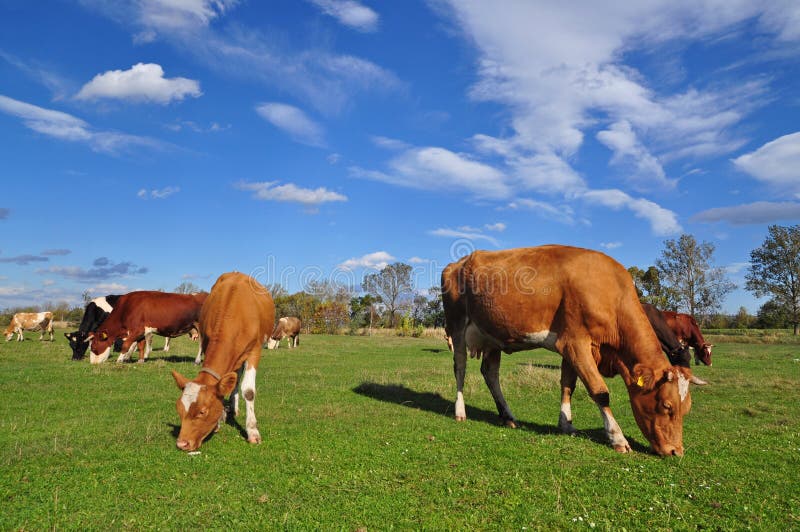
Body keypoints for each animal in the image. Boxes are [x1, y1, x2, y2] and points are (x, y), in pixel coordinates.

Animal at [170, 272, 276, 450]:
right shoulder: (207, 341)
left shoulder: (255, 350)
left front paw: (252, 431)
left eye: (202, 411)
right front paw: (219, 420)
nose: (182, 443)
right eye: (179, 409)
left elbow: (248, 391)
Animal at [444, 246, 692, 458]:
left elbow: (567, 385)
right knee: (460, 368)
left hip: (493, 336)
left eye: (686, 408)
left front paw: (566, 425)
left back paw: (508, 416)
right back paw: (460, 411)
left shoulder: (572, 348)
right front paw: (617, 437)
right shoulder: (575, 343)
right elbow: (600, 391)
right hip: (456, 326)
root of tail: (459, 262)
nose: (676, 451)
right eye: (667, 406)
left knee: (490, 373)